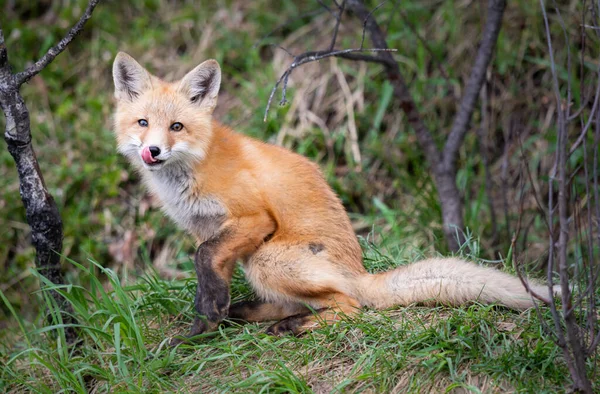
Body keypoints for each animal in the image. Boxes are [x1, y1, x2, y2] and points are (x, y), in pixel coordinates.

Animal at [110, 53, 552, 344]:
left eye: (177, 127)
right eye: (143, 123)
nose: (153, 152)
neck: (193, 168)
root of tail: (358, 270)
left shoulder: (253, 219)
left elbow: (203, 262)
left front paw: (203, 324)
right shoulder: (209, 232)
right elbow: (207, 274)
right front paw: (207, 323)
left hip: (268, 257)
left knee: (348, 305)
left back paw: (291, 326)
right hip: (258, 260)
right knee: (298, 303)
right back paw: (252, 314)